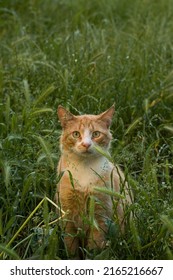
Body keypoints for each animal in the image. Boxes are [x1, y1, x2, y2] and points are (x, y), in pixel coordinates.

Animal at [55, 105, 131, 258]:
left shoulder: (100, 216)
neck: (84, 167)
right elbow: (71, 247)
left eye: (96, 134)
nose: (86, 144)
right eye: (76, 134)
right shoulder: (67, 214)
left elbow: (94, 248)